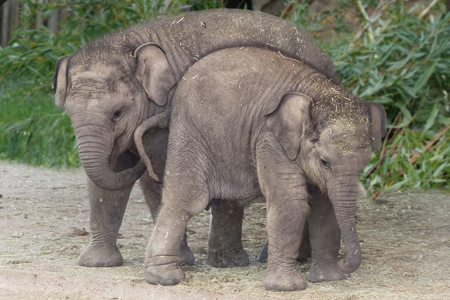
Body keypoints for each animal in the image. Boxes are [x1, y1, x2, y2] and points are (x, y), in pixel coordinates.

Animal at [138, 47, 386, 290]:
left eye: (365, 164)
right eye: (324, 161)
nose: (346, 264)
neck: (318, 92)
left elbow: (325, 205)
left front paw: (329, 279)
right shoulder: (271, 140)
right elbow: (290, 201)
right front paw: (287, 287)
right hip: (190, 133)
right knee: (187, 198)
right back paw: (164, 279)